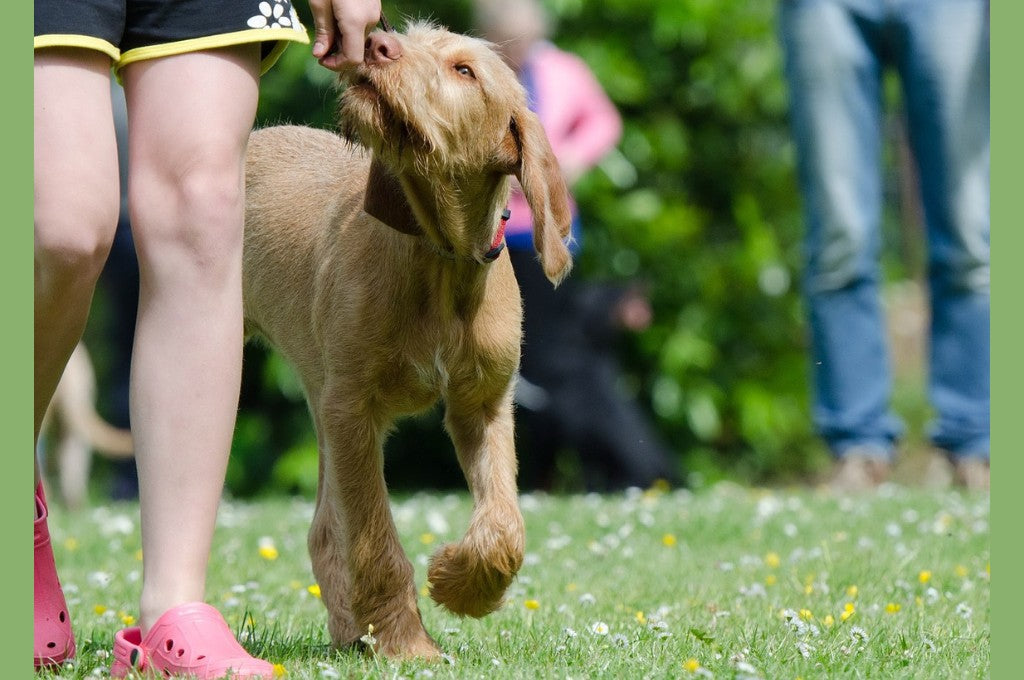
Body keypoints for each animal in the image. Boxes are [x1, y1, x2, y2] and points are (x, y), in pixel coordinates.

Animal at [241, 25, 577, 659]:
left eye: (465, 71)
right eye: (408, 37)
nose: (376, 43)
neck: (439, 258)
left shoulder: (482, 406)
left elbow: (505, 525)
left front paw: (461, 585)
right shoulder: (353, 411)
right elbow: (375, 541)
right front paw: (407, 644)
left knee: (324, 530)